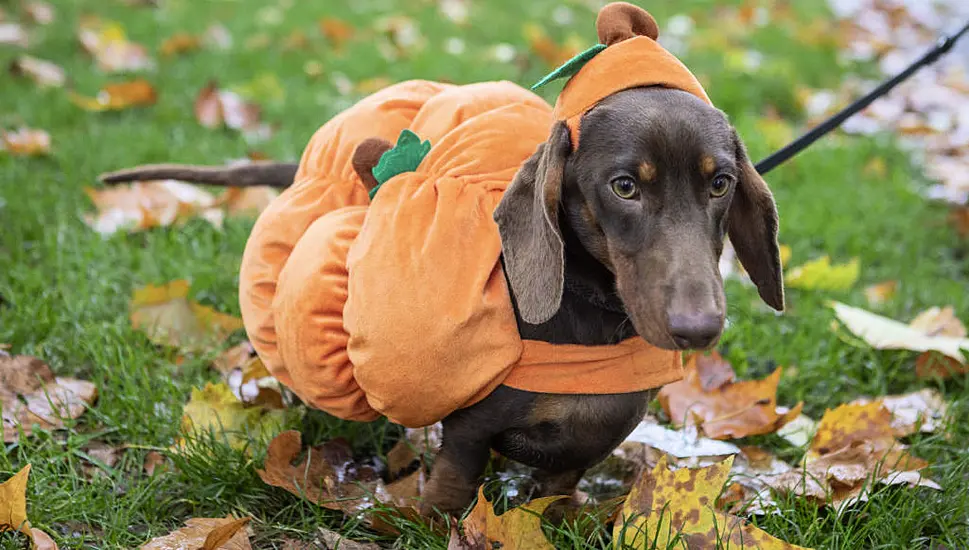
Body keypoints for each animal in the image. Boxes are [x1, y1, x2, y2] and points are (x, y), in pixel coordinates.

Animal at [102, 85, 784, 516]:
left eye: (720, 183)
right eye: (624, 187)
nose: (699, 328)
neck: (588, 323)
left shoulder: (589, 444)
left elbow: (554, 494)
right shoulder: (468, 429)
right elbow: (453, 487)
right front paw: (431, 520)